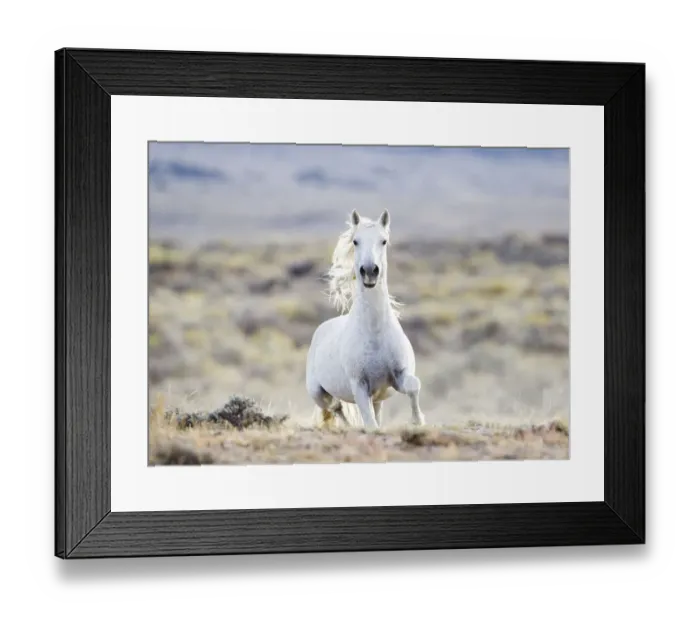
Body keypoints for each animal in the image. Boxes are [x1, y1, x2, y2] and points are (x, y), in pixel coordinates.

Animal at [305, 209, 426, 430]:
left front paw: (417, 420)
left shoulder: (398, 376)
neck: (375, 332)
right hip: (317, 392)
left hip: (377, 397)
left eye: (384, 241)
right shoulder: (360, 386)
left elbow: (414, 385)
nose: (370, 271)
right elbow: (370, 424)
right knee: (335, 407)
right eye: (356, 241)